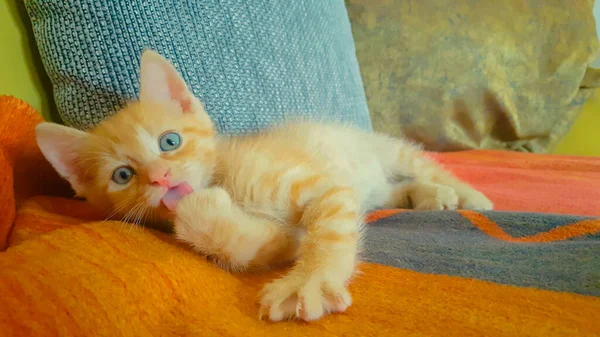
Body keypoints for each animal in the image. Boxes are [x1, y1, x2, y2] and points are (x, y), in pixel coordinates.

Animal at [36, 49, 492, 320]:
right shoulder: (277, 236)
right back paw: (428, 196)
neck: (223, 175)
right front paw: (202, 214)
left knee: (423, 164)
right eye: (123, 175)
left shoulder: (321, 183)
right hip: (372, 184)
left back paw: (466, 194)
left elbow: (328, 233)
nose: (161, 177)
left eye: (170, 142)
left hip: (382, 149)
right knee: (389, 192)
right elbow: (259, 243)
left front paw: (311, 280)